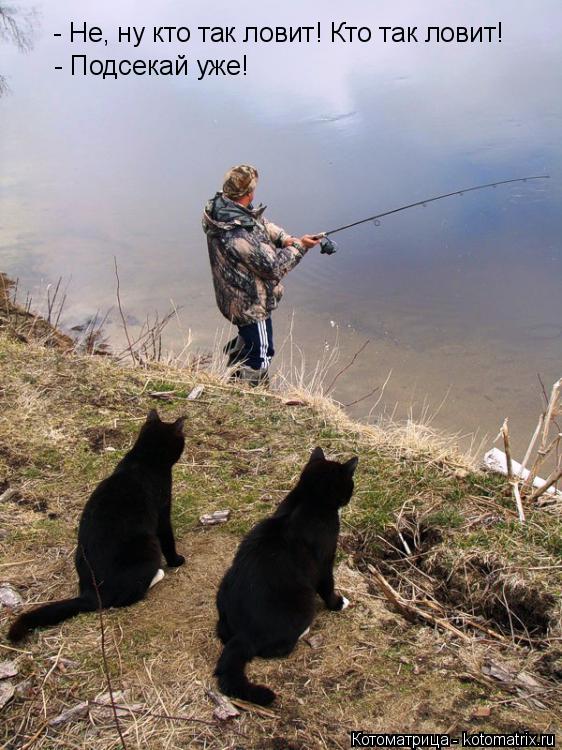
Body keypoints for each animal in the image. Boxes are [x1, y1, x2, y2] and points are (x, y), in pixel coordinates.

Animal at [8, 408, 185, 644]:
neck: (143, 459)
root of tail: (90, 595)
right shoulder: (163, 510)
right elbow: (168, 538)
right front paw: (176, 560)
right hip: (148, 545)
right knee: (128, 597)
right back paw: (157, 574)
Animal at [212, 450, 356, 708]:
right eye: (350, 484)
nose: (351, 495)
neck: (308, 499)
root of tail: (243, 634)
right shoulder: (325, 560)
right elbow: (328, 585)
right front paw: (339, 603)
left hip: (225, 585)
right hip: (304, 600)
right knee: (278, 649)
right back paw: (303, 631)